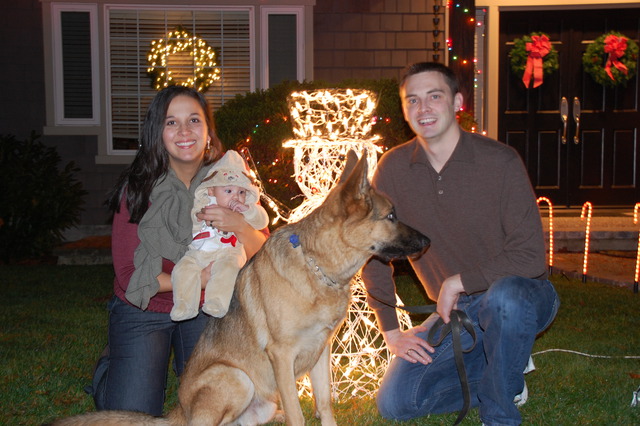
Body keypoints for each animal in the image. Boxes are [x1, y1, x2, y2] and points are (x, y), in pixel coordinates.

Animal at [53, 151, 430, 426]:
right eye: (392, 216)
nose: (427, 241)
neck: (318, 268)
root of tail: (178, 413)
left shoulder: (321, 353)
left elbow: (324, 407)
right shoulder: (282, 356)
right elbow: (298, 416)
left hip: (259, 402)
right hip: (236, 378)